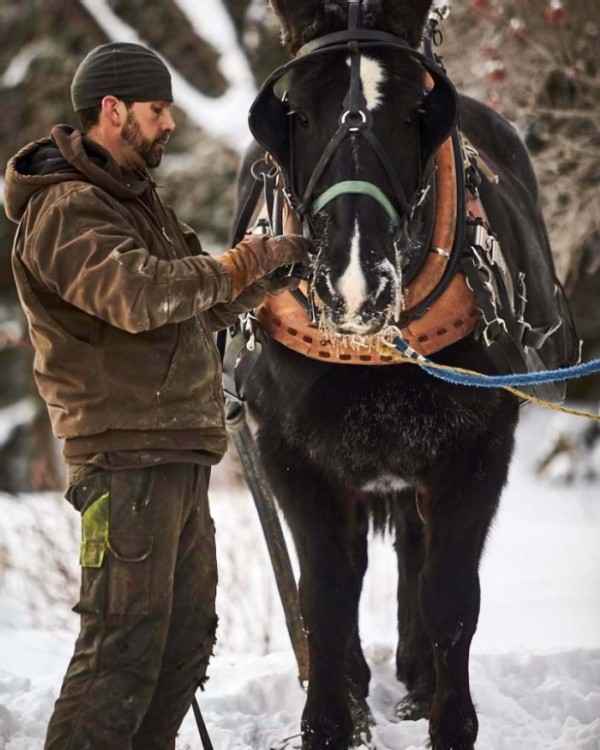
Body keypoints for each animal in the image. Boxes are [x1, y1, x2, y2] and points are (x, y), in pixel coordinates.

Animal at [233, 1, 576, 750]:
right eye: (297, 111)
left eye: (416, 111)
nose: (355, 285)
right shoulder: (292, 454)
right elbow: (325, 593)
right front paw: (331, 721)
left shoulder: (475, 448)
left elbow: (450, 593)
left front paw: (451, 722)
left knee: (416, 557)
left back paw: (417, 679)